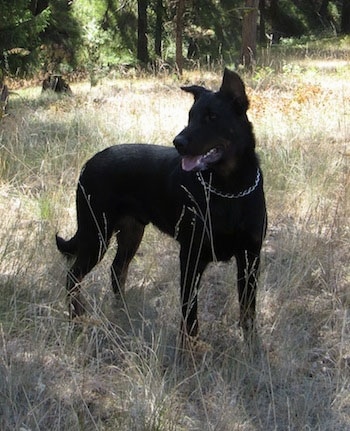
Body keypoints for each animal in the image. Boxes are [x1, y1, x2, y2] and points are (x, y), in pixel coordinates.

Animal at [56, 68, 266, 340]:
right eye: (190, 117)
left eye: (212, 117)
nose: (178, 142)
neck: (229, 188)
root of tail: (88, 163)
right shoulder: (191, 256)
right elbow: (189, 315)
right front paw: (189, 348)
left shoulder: (250, 257)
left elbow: (247, 311)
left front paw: (251, 345)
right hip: (96, 234)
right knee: (74, 276)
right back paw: (77, 318)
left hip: (130, 233)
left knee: (116, 270)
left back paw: (123, 312)